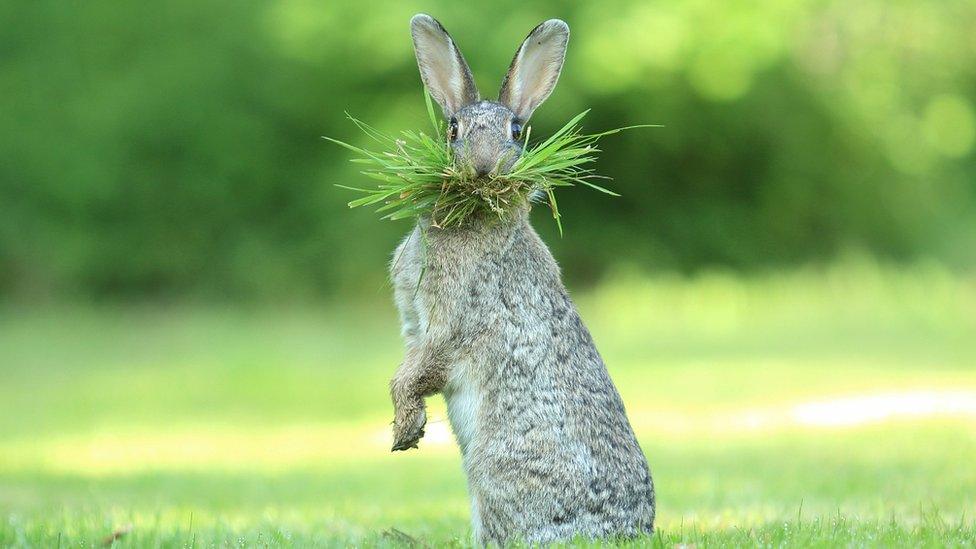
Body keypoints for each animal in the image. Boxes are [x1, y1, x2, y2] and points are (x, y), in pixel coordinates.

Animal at [388, 12, 656, 544]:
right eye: (453, 128)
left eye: (516, 130)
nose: (484, 167)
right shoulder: (414, 324)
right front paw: (408, 428)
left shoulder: (450, 322)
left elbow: (422, 368)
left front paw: (405, 429)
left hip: (494, 469)